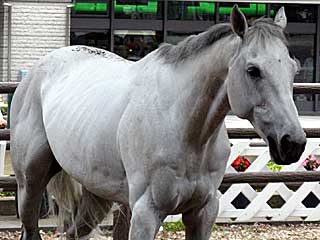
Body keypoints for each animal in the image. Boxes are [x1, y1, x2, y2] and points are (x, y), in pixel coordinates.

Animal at [10, 5, 304, 240]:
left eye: (293, 68)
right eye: (253, 70)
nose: (293, 143)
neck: (184, 127)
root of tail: (38, 70)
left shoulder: (203, 212)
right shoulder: (146, 213)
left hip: (96, 191)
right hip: (30, 184)